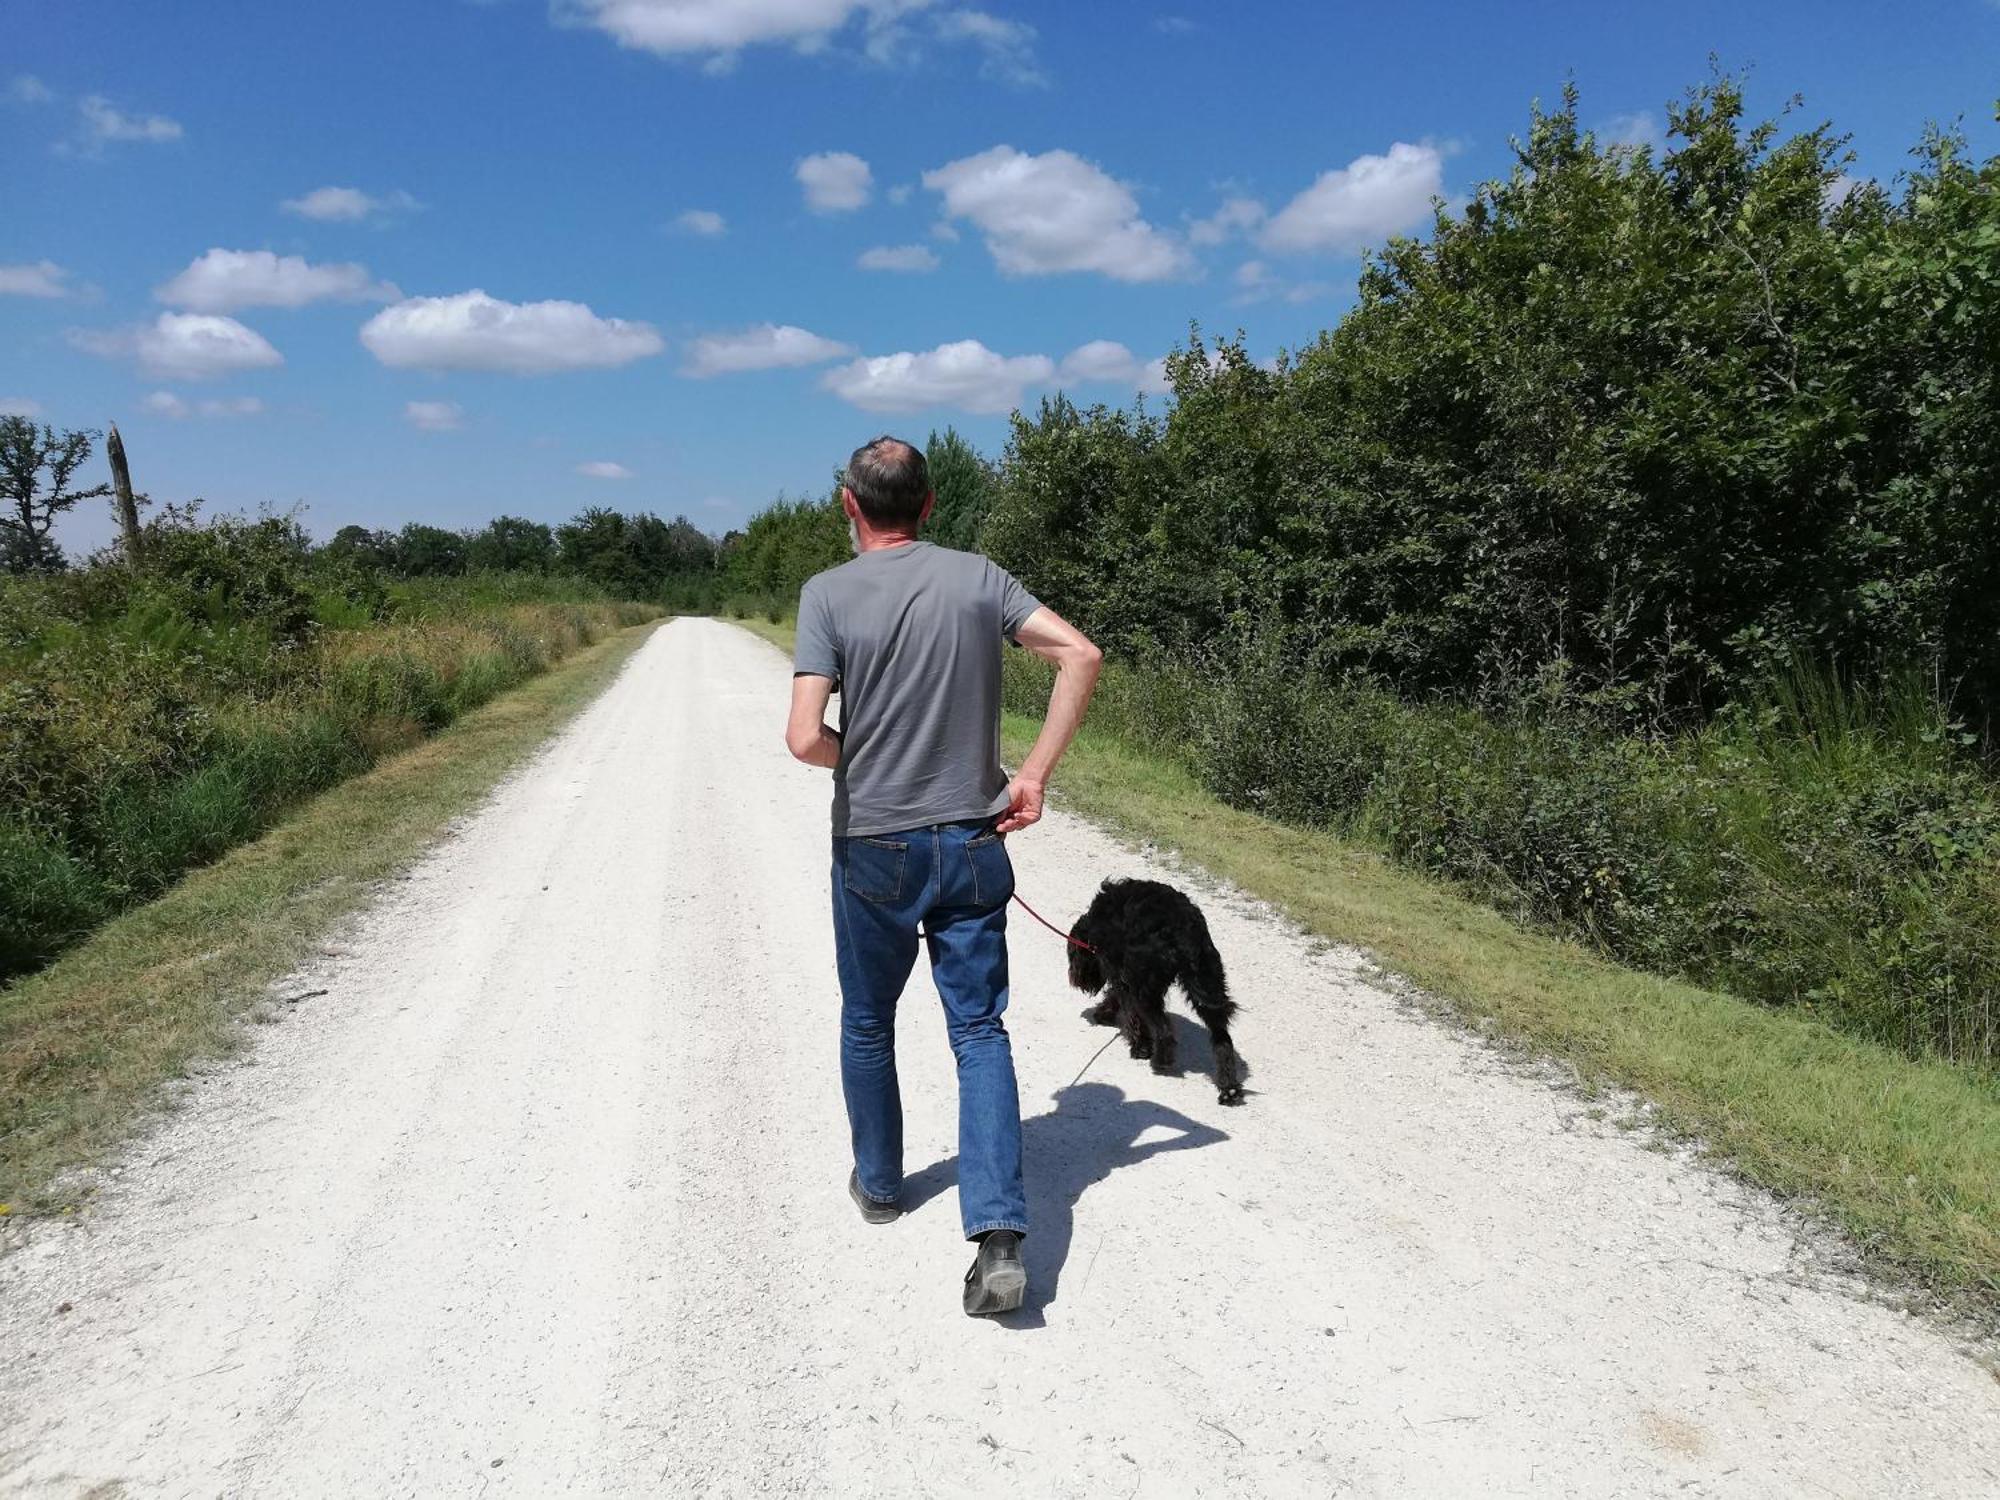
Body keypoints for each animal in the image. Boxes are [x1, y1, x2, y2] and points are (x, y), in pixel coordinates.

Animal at [1072, 880, 1240, 1104]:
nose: (1075, 979)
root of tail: (1181, 929)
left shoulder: (1122, 973)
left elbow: (1129, 1012)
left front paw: (1139, 1045)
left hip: (1146, 988)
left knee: (1164, 1029)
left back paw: (1160, 1060)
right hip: (1206, 981)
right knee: (1222, 1038)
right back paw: (1229, 1087)